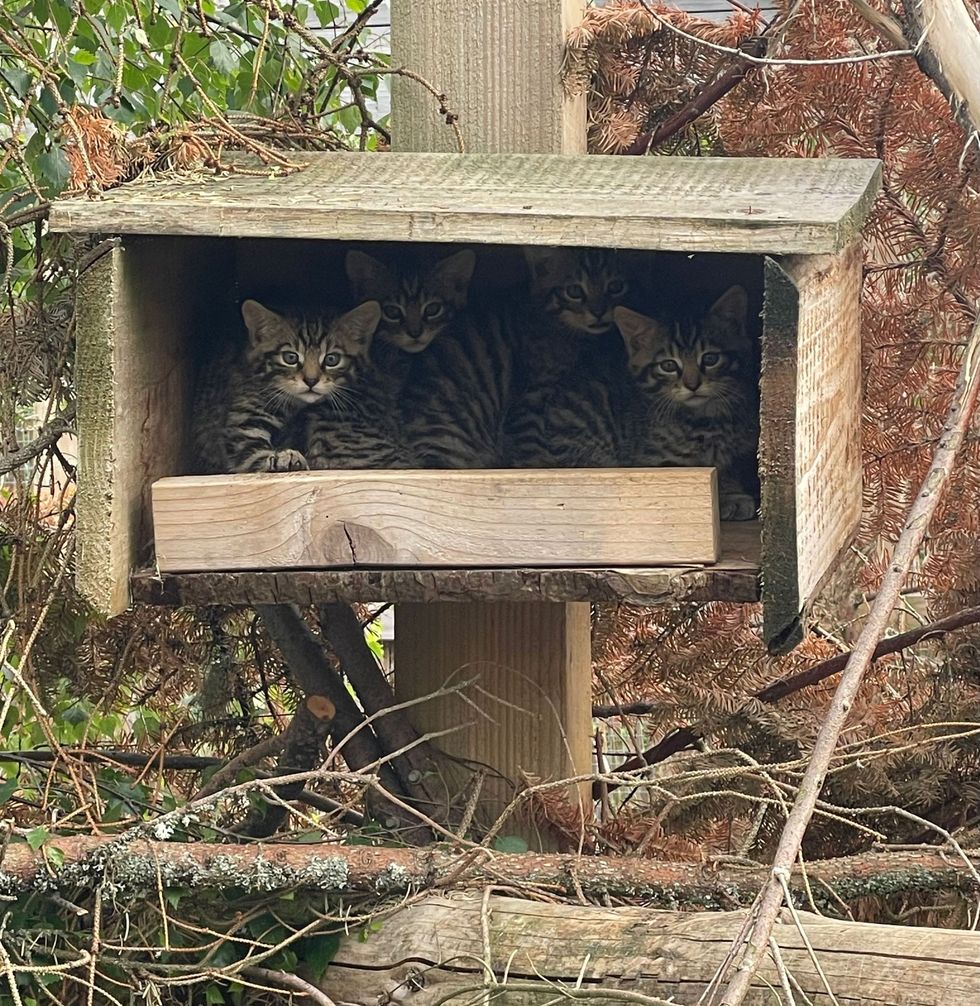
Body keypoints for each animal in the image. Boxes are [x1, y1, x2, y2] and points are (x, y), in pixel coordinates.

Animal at [194, 297, 382, 474]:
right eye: (290, 357)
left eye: (332, 359)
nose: (311, 381)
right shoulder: (244, 418)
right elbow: (250, 452)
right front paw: (279, 459)